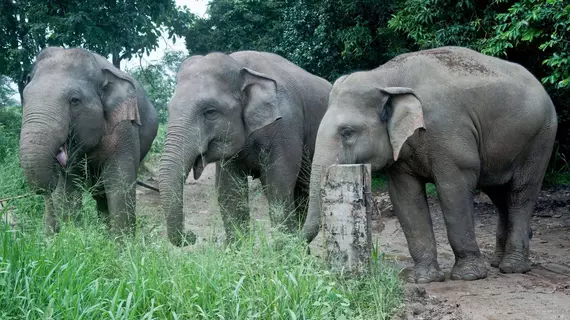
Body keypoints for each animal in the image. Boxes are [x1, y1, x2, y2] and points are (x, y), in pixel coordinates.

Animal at [20, 46, 158, 236]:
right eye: (24, 98)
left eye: (74, 101)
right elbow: (69, 189)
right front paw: (71, 235)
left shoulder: (124, 126)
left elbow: (119, 183)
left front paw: (122, 243)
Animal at [158, 50, 330, 246]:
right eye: (168, 109)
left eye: (210, 112)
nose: (191, 236)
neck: (241, 66)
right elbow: (229, 190)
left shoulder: (287, 124)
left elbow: (278, 184)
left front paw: (281, 247)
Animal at [300, 47, 556, 282]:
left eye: (347, 132)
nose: (304, 252)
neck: (387, 77)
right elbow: (405, 197)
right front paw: (425, 278)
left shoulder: (448, 133)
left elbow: (453, 190)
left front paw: (468, 276)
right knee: (499, 195)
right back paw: (498, 263)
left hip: (540, 139)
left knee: (521, 193)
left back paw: (513, 268)